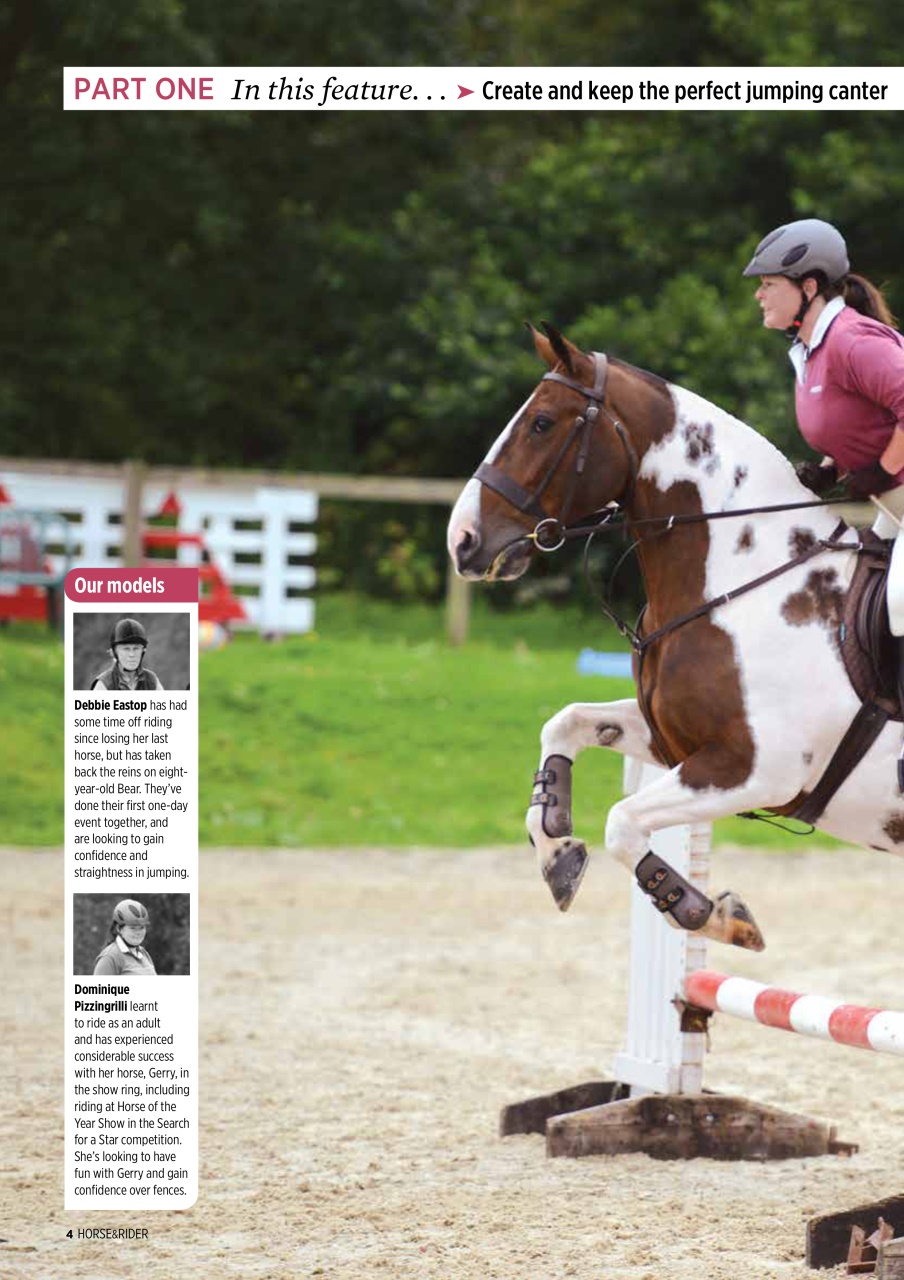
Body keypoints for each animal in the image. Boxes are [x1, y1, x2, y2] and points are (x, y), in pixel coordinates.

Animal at [447, 323, 904, 951]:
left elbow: (621, 821)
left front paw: (712, 913)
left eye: (541, 423)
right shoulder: (678, 743)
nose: (462, 540)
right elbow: (566, 722)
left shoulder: (756, 769)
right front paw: (557, 850)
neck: (742, 579)